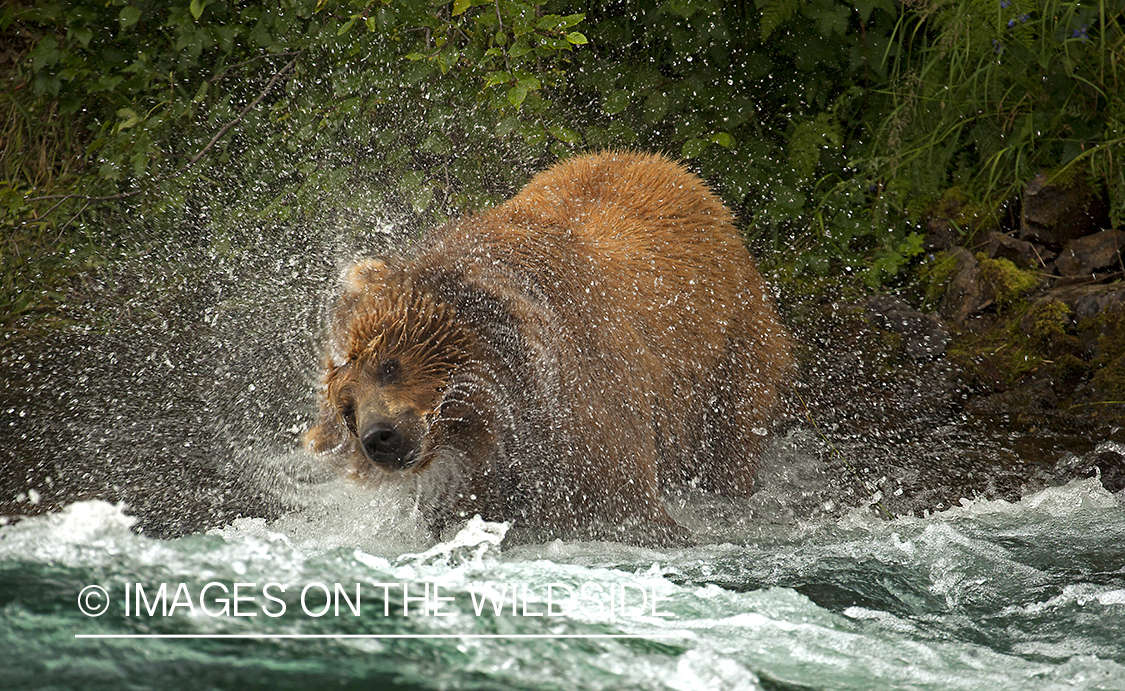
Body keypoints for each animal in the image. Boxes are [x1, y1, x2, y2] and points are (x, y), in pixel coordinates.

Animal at [306, 153, 792, 546]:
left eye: (389, 364)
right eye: (348, 408)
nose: (378, 437)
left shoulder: (584, 403)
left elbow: (623, 502)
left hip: (730, 352)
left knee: (732, 440)